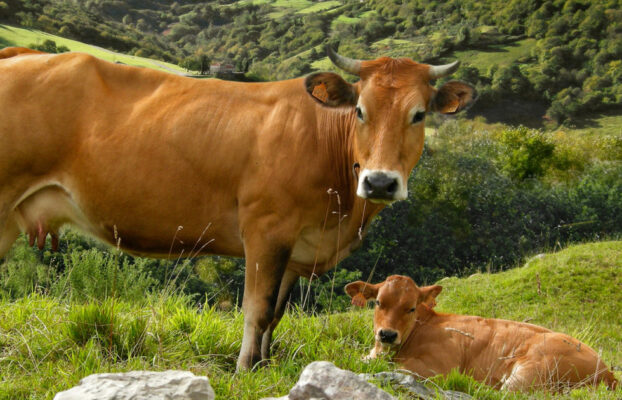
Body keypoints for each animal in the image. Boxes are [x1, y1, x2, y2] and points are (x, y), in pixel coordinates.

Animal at [0, 46, 478, 368]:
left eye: (419, 115)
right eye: (360, 110)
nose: (379, 181)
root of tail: (22, 54)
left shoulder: (296, 248)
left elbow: (277, 312)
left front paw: (265, 364)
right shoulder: (266, 231)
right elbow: (257, 309)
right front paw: (245, 367)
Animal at [346, 276, 620, 392]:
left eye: (411, 307)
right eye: (378, 302)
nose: (387, 334)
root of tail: (608, 372)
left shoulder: (438, 367)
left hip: (529, 373)